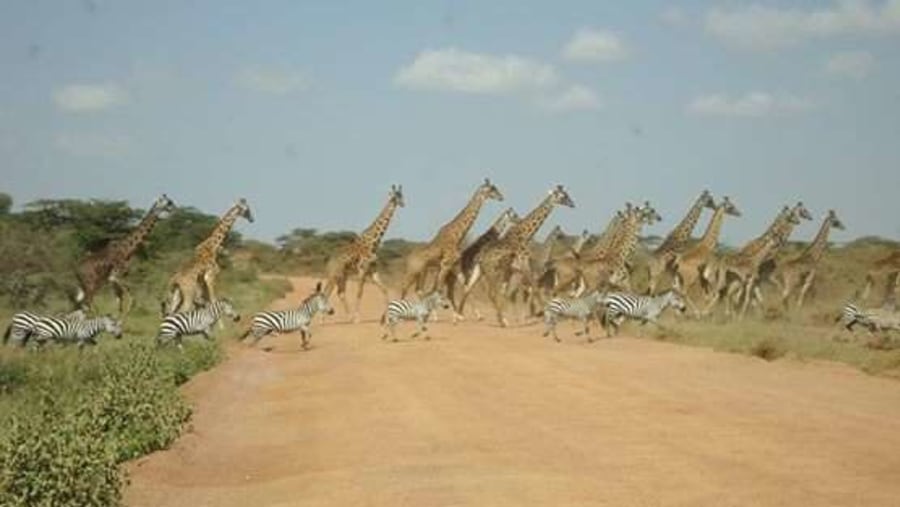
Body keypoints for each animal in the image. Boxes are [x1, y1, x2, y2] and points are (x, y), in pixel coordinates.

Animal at [324, 185, 404, 324]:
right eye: (395, 196)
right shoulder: (362, 270)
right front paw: (358, 318)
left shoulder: (373, 271)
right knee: (326, 292)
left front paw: (387, 317)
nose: (403, 204)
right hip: (334, 274)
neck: (374, 243)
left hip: (343, 276)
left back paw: (348, 317)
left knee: (340, 293)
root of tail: (329, 261)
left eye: (402, 195)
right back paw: (323, 320)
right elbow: (359, 292)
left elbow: (385, 289)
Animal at [460, 186, 572, 326]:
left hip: (480, 271)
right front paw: (543, 314)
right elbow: (533, 289)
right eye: (563, 196)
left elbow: (510, 293)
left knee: (468, 288)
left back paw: (460, 316)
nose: (572, 204)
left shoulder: (514, 271)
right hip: (492, 272)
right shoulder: (524, 266)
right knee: (490, 292)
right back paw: (501, 321)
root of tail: (480, 257)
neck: (524, 234)